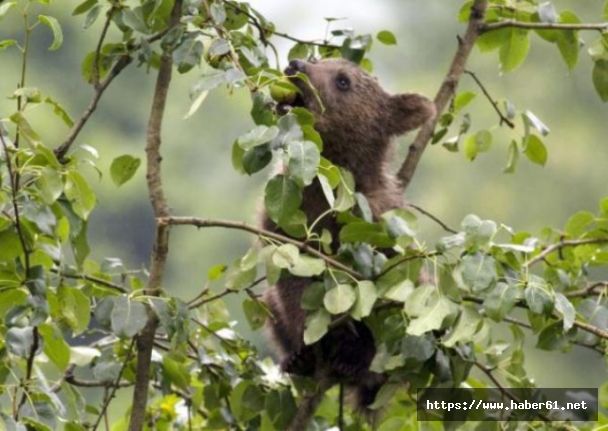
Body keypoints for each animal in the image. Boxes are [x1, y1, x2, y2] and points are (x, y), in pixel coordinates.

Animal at [264, 59, 434, 410]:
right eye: (318, 59)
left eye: (343, 81)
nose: (295, 64)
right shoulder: (284, 215)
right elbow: (291, 280)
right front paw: (307, 341)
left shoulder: (378, 224)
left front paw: (351, 350)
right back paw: (297, 360)